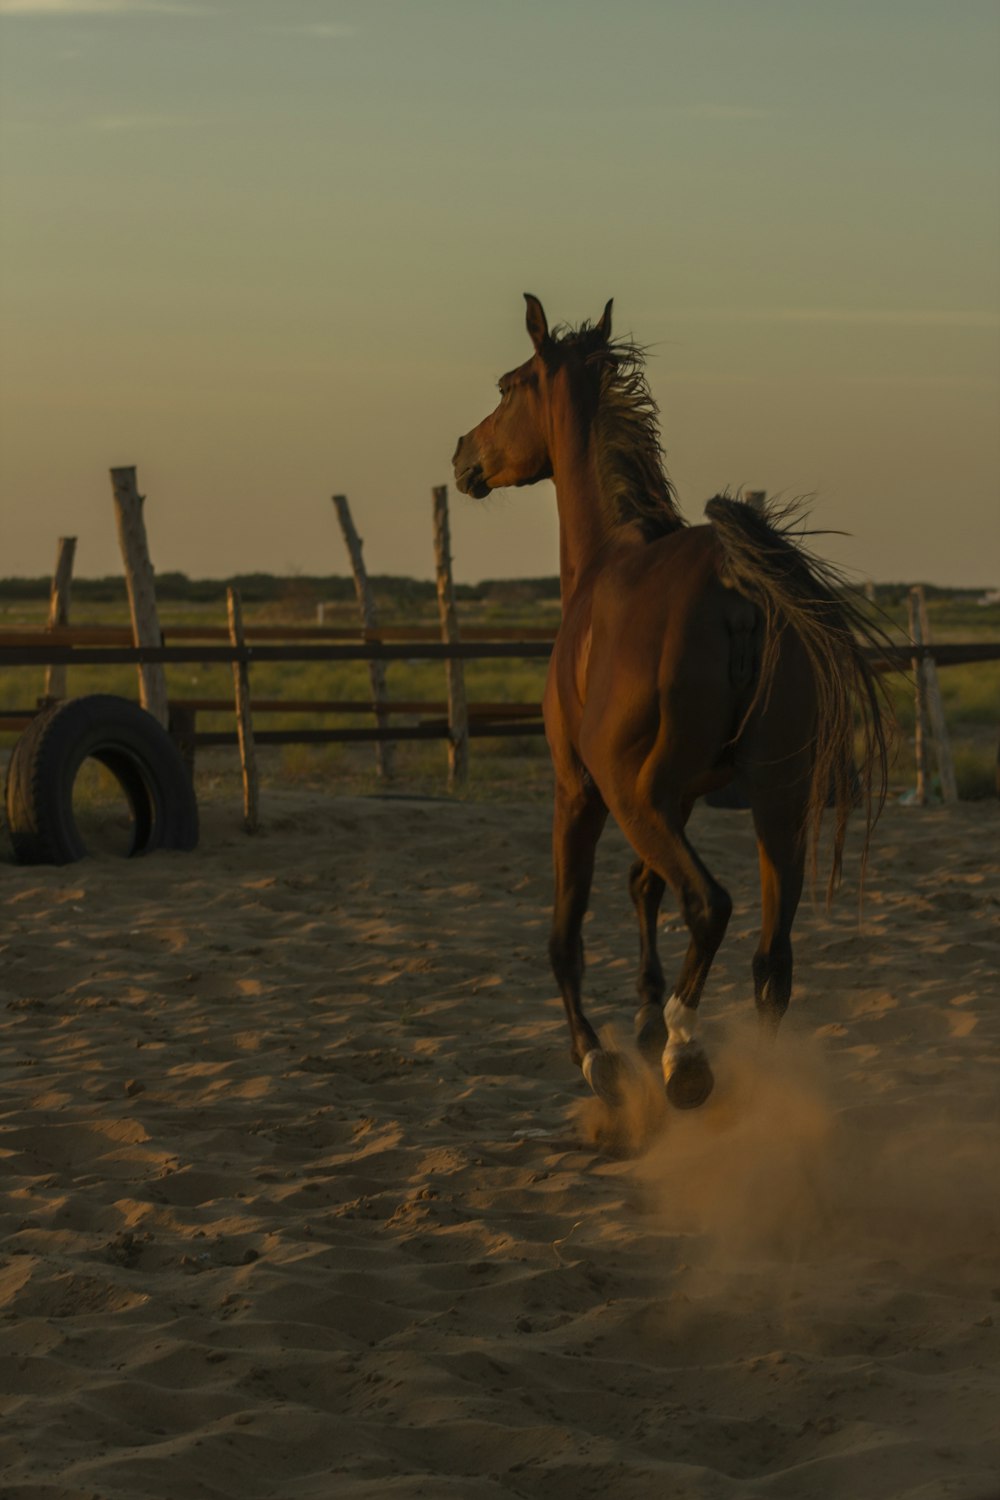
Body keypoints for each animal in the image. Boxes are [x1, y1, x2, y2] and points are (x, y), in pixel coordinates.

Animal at [449, 298, 887, 1110]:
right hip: (776, 804)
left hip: (638, 798)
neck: (604, 563)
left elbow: (567, 932)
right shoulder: (678, 798)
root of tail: (739, 591)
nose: (462, 454)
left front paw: (603, 1055)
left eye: (506, 385)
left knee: (711, 905)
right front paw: (646, 1017)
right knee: (771, 959)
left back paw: (686, 1056)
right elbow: (643, 888)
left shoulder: (581, 790)